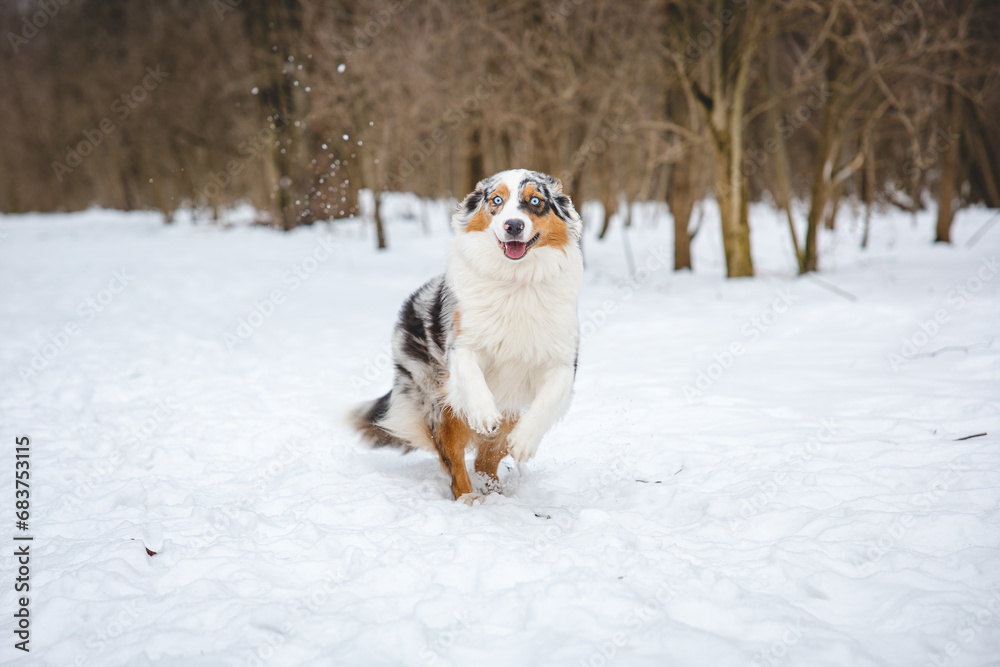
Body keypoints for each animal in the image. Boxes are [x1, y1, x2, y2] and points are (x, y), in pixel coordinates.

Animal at [354, 170, 584, 504]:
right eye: (496, 200)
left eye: (535, 201)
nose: (513, 225)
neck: (515, 281)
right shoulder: (462, 344)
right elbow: (472, 375)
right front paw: (484, 414)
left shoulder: (562, 359)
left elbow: (548, 399)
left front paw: (524, 442)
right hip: (438, 401)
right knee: (454, 457)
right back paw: (468, 496)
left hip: (508, 409)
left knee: (485, 461)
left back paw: (496, 492)